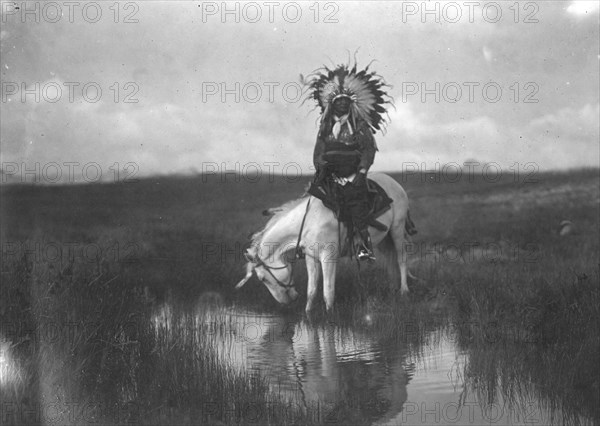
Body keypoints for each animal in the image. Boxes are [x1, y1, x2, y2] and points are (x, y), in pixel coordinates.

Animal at [234, 171, 412, 314]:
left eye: (262, 279)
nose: (285, 302)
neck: (309, 222)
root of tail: (394, 182)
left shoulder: (328, 258)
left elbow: (328, 291)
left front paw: (329, 318)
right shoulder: (311, 258)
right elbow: (311, 290)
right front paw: (308, 315)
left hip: (397, 229)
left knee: (401, 260)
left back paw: (404, 290)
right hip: (383, 239)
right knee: (390, 261)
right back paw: (392, 287)